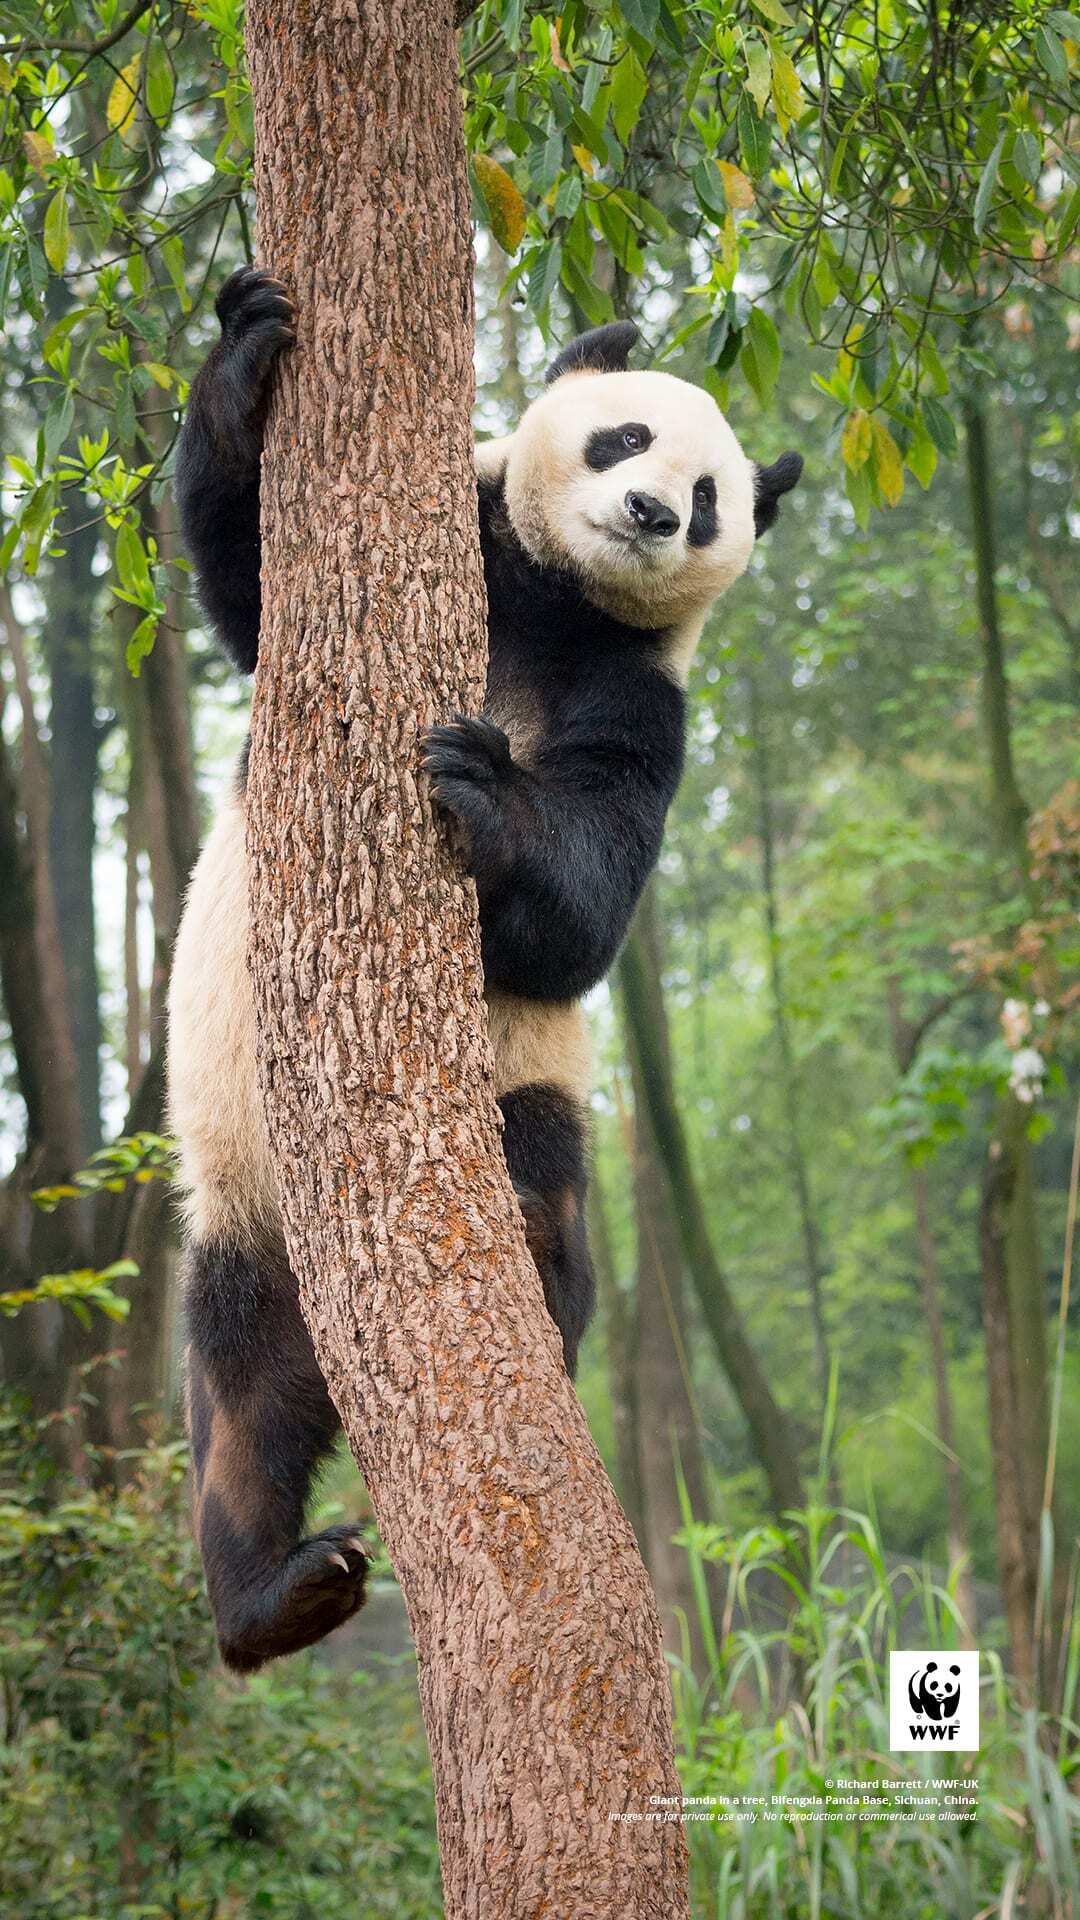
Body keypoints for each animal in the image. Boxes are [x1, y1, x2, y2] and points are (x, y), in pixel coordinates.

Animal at [167, 266, 803, 1670]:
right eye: (626, 438)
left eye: (710, 498)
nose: (649, 513)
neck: (553, 607)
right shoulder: (433, 564)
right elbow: (244, 586)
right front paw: (246, 350)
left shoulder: (645, 702)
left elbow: (586, 905)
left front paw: (480, 785)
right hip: (240, 1210)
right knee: (237, 1406)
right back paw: (274, 1597)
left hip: (526, 1093)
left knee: (551, 1209)